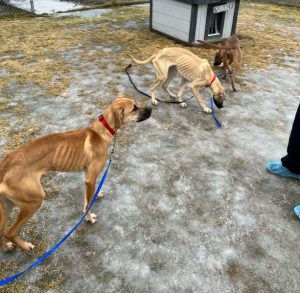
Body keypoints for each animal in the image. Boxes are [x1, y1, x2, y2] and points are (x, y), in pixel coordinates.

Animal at [0, 96, 150, 251]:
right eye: (134, 108)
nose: (151, 109)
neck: (100, 132)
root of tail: (5, 165)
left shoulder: (87, 177)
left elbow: (86, 199)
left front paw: (95, 197)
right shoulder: (91, 178)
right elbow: (89, 204)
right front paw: (89, 218)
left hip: (7, 205)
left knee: (1, 231)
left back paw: (7, 248)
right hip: (33, 201)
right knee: (9, 232)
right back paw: (25, 246)